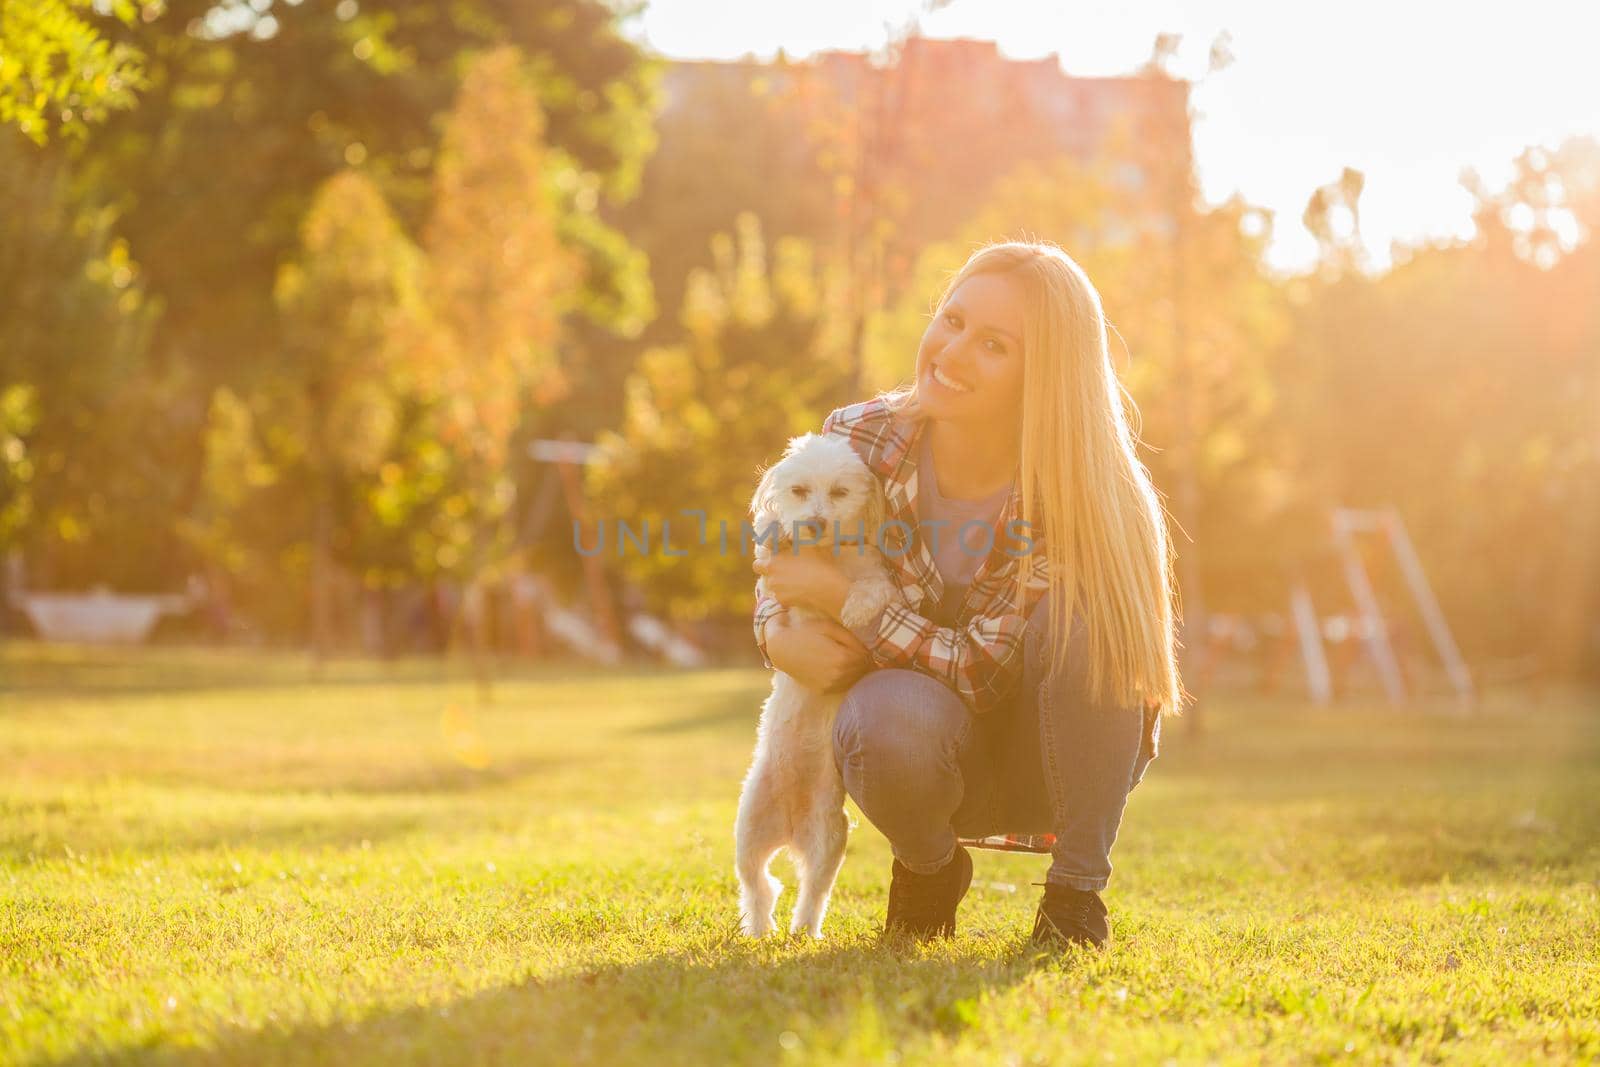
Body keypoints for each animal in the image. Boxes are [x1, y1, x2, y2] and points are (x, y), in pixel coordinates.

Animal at [736, 428, 902, 940]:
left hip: (830, 838)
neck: (825, 555)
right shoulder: (778, 592)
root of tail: (789, 826)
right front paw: (776, 532)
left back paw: (803, 928)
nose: (812, 523)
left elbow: (873, 589)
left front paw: (855, 606)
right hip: (748, 827)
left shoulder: (875, 577)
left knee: (811, 891)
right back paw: (761, 927)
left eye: (840, 493)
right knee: (758, 885)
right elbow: (767, 556)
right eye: (799, 491)